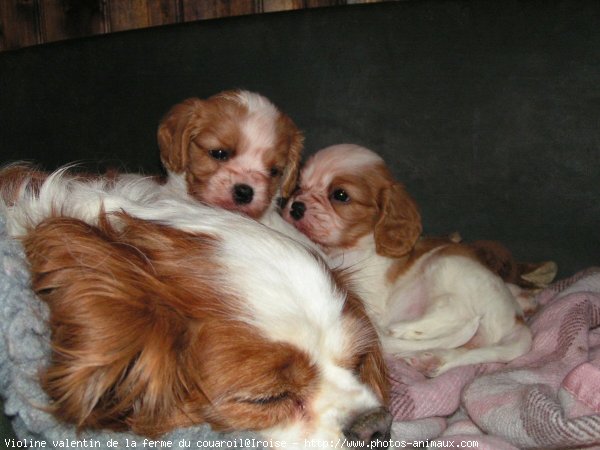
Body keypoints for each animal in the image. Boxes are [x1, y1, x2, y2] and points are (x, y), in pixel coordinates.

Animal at [284, 144, 532, 376]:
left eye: (340, 195)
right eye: (299, 186)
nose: (295, 207)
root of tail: (516, 318)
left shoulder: (369, 296)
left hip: (445, 266)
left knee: (456, 310)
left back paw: (401, 328)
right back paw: (430, 359)